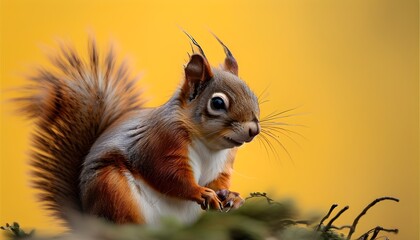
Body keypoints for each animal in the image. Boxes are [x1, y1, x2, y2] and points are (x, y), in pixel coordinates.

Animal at [18, 32, 260, 226]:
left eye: (253, 95)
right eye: (217, 103)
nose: (253, 130)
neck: (208, 145)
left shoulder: (222, 164)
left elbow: (218, 182)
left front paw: (232, 197)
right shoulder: (161, 142)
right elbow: (167, 175)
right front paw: (201, 192)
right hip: (113, 189)